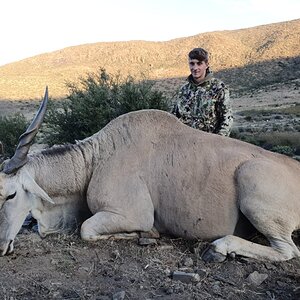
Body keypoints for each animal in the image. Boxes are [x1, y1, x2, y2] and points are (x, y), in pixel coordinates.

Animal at [0, 88, 300, 262]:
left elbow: (86, 229)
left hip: (253, 190)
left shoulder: (131, 215)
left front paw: (145, 235)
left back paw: (219, 248)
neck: (96, 158)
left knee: (288, 250)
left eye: (10, 195)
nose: (2, 246)